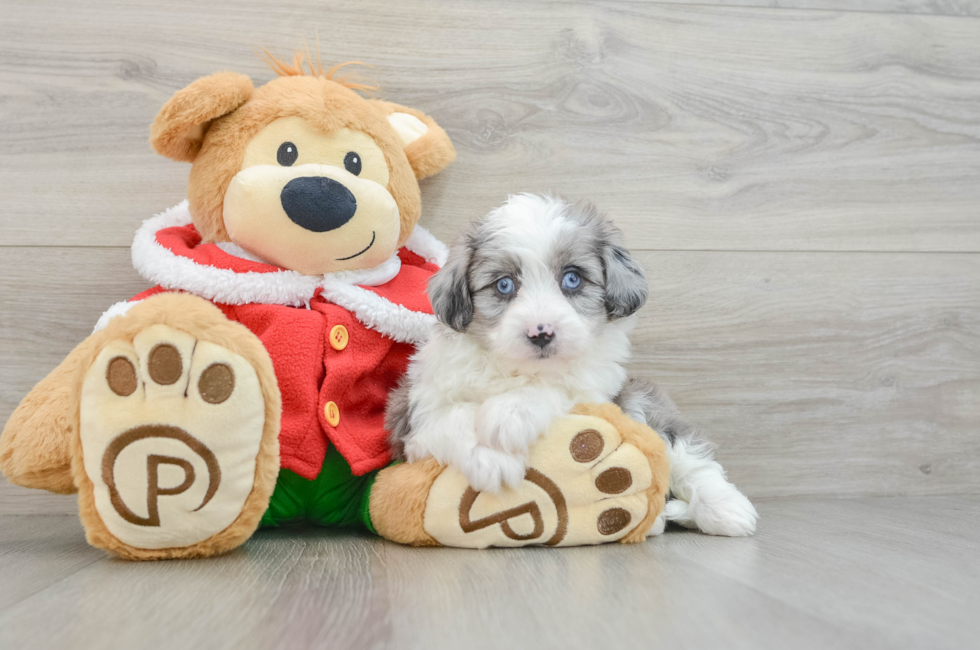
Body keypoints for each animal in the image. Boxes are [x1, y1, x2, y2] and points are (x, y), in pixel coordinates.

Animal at [388, 194, 756, 536]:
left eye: (572, 279)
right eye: (504, 284)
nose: (541, 333)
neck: (518, 371)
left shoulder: (597, 389)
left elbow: (556, 389)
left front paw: (511, 414)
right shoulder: (412, 416)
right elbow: (451, 416)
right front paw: (491, 456)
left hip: (640, 399)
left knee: (687, 456)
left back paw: (724, 509)